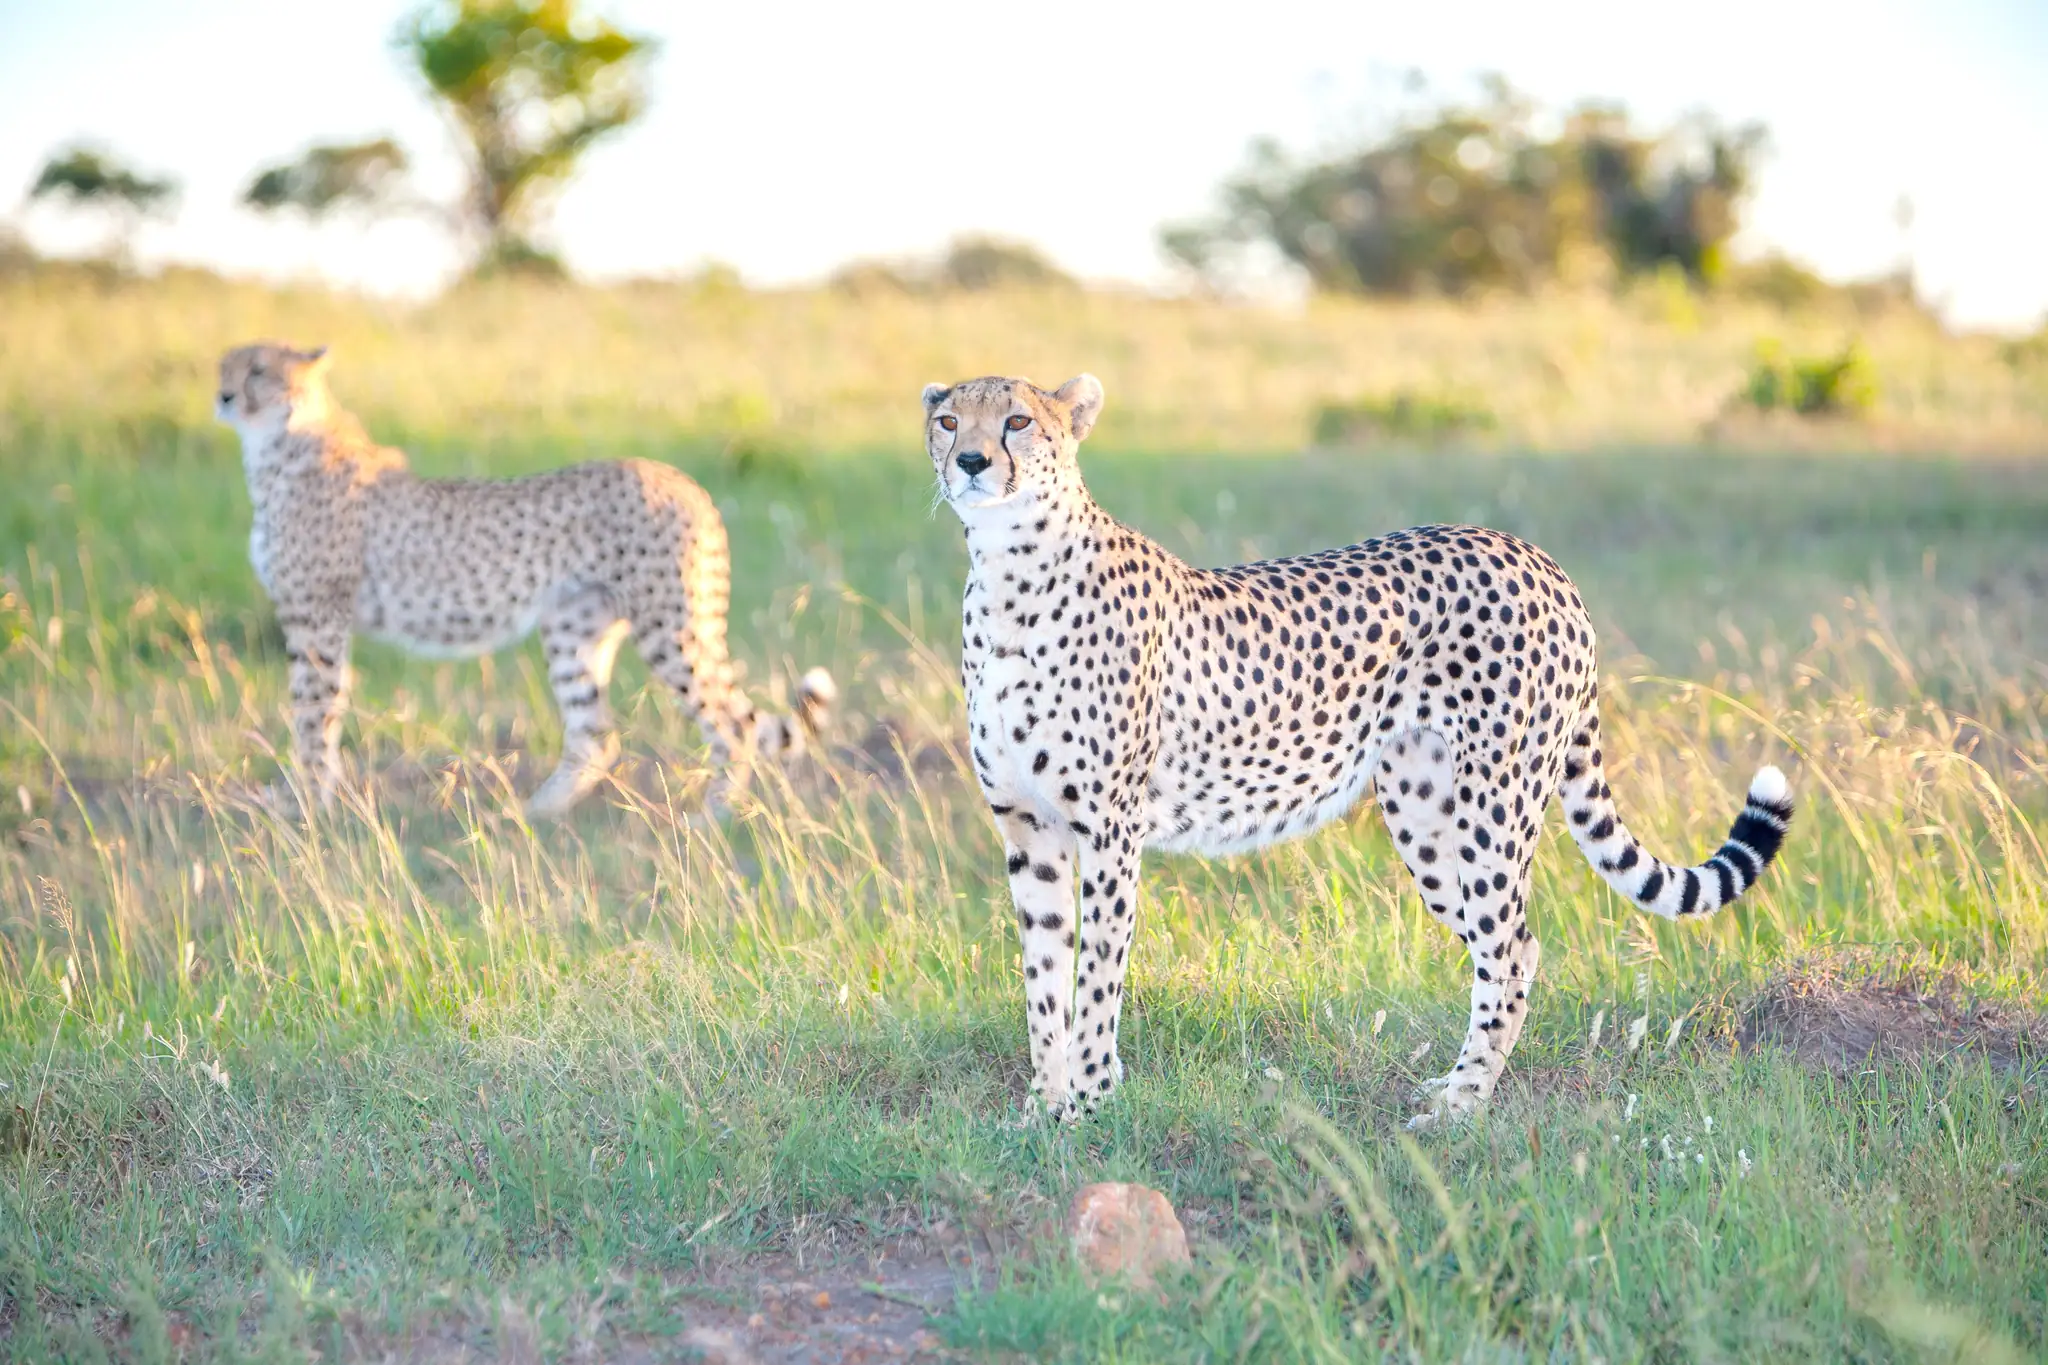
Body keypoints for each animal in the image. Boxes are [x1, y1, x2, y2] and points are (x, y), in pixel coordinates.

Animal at [215, 341, 833, 818]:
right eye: (223, 367)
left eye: (259, 371)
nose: (222, 397)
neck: (278, 445)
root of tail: (681, 478)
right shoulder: (316, 619)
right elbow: (317, 709)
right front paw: (306, 797)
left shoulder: (317, 618)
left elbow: (312, 712)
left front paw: (302, 802)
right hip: (574, 627)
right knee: (596, 733)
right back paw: (534, 813)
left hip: (669, 626)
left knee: (730, 722)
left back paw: (715, 814)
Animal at [921, 372, 1794, 1128]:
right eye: (949, 419)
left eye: (1018, 420)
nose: (971, 461)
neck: (1008, 573)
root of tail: (1532, 554)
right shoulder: (1028, 829)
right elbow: (1043, 980)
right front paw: (1045, 1106)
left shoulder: (1111, 829)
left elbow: (1097, 973)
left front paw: (1094, 1099)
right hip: (1425, 818)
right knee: (1509, 946)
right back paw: (1455, 1083)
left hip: (1492, 810)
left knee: (1513, 949)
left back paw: (1461, 1106)